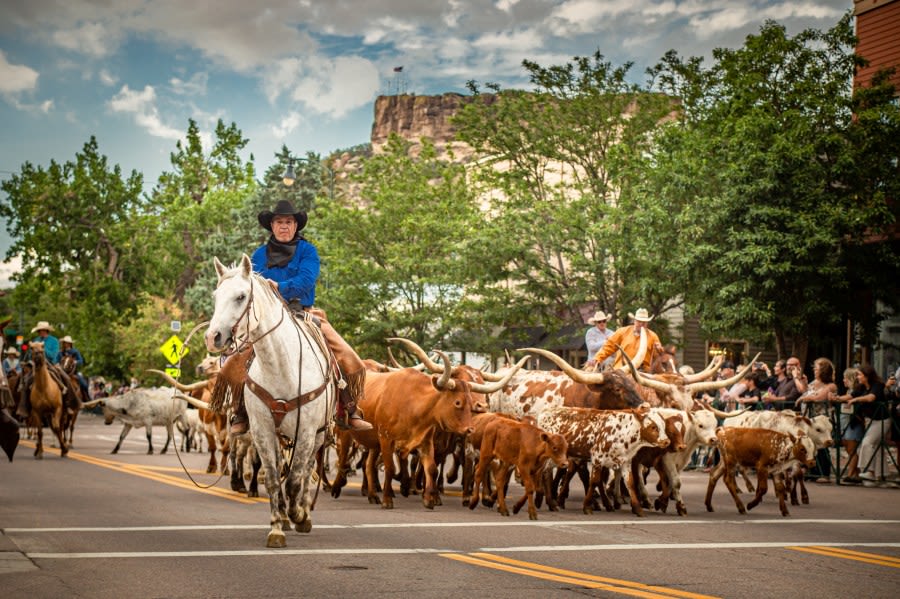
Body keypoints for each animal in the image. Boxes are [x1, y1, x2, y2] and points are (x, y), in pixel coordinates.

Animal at [206, 253, 336, 548]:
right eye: (216, 296)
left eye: (241, 296)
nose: (212, 337)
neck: (281, 365)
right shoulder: (263, 430)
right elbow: (274, 479)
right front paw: (277, 527)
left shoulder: (306, 431)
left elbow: (295, 479)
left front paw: (298, 513)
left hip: (319, 435)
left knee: (306, 471)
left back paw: (303, 513)